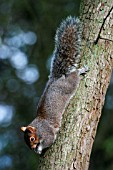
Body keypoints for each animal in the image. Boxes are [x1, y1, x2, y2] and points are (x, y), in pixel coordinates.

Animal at [20, 15, 87, 154]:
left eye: (32, 139)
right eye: (27, 143)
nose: (33, 149)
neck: (39, 127)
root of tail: (55, 79)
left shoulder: (48, 133)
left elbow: (50, 140)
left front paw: (39, 149)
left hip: (68, 85)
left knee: (73, 77)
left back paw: (80, 71)